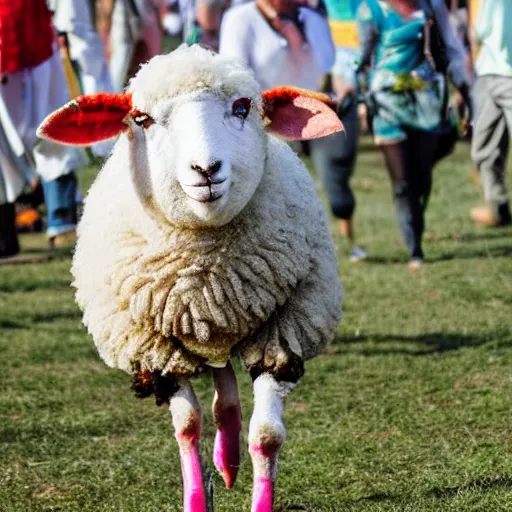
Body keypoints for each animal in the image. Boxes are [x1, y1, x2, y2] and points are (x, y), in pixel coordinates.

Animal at [38, 44, 344, 512]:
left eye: (242, 106)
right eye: (141, 118)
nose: (206, 169)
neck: (206, 272)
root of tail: (212, 306)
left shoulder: (284, 333)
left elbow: (267, 436)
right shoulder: (152, 351)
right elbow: (187, 425)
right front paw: (196, 499)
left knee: (228, 400)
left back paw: (230, 462)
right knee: (222, 399)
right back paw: (224, 461)